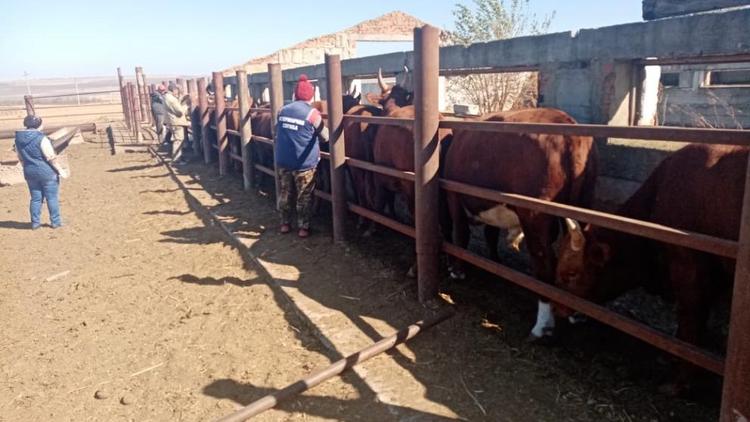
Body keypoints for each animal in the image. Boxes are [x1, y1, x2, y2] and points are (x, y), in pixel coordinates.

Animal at [446, 108, 600, 340]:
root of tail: (568, 126)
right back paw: (578, 313)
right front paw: (495, 262)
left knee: (544, 262)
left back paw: (542, 325)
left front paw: (457, 272)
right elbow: (491, 234)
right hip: (582, 204)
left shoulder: (454, 193)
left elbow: (461, 234)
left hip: (535, 214)